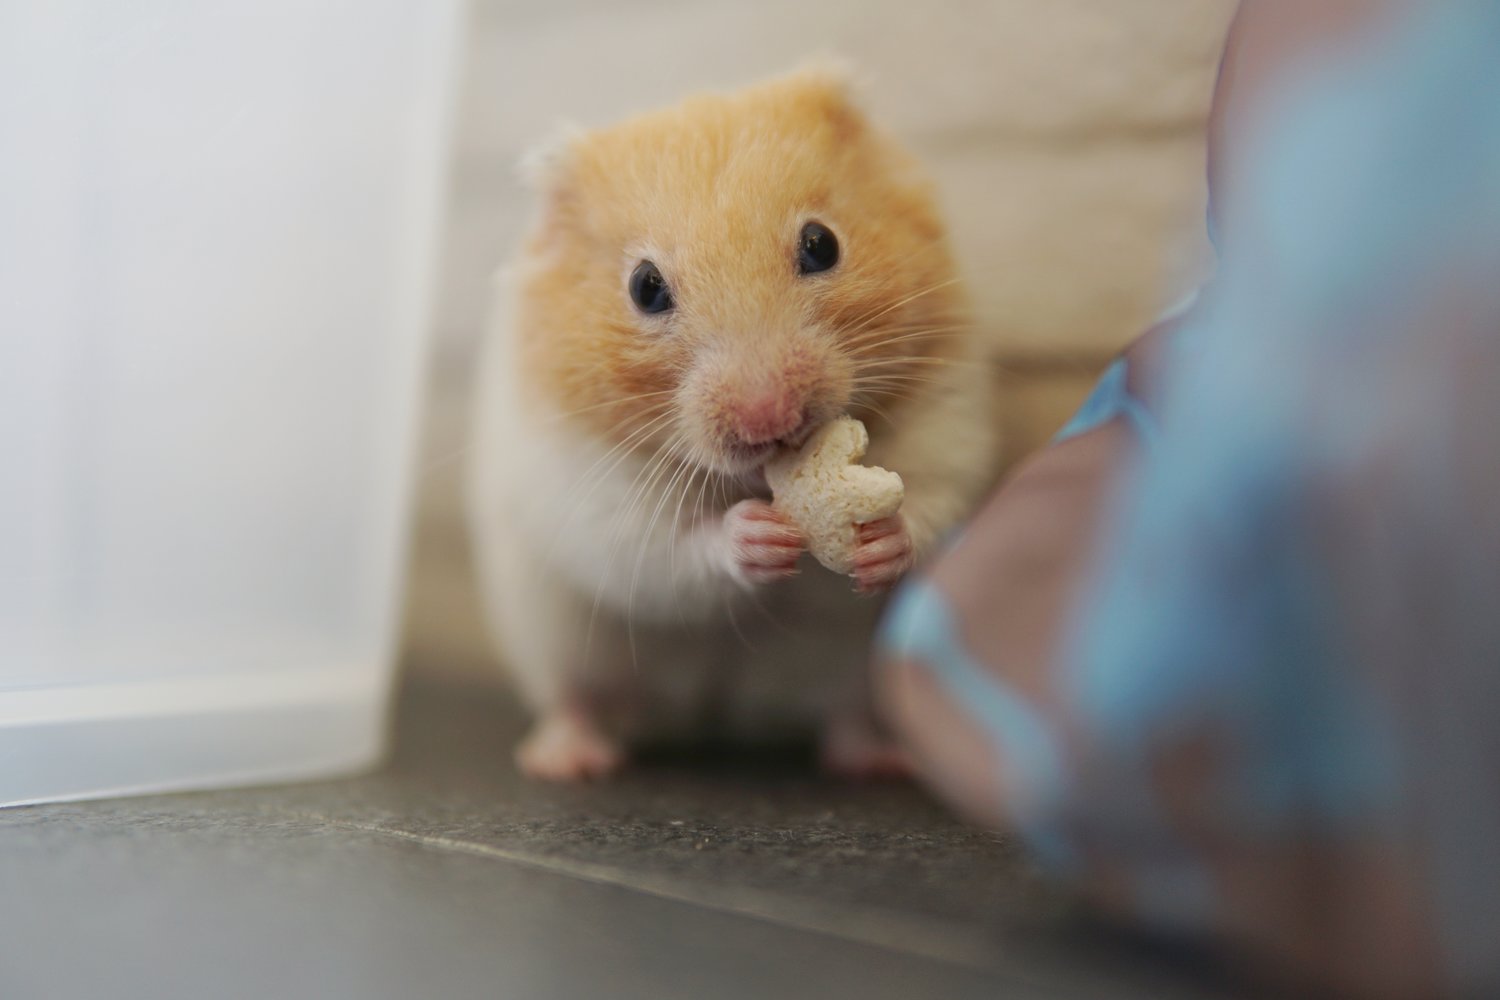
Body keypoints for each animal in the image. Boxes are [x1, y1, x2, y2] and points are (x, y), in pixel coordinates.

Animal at [467, 65, 998, 781]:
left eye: (821, 243)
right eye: (644, 287)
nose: (770, 418)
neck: (762, 478)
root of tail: (722, 711)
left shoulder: (948, 409)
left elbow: (933, 496)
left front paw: (880, 540)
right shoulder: (584, 487)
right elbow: (666, 551)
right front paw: (757, 534)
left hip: (859, 667)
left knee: (844, 717)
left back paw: (881, 760)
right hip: (553, 636)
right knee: (575, 697)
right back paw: (568, 759)